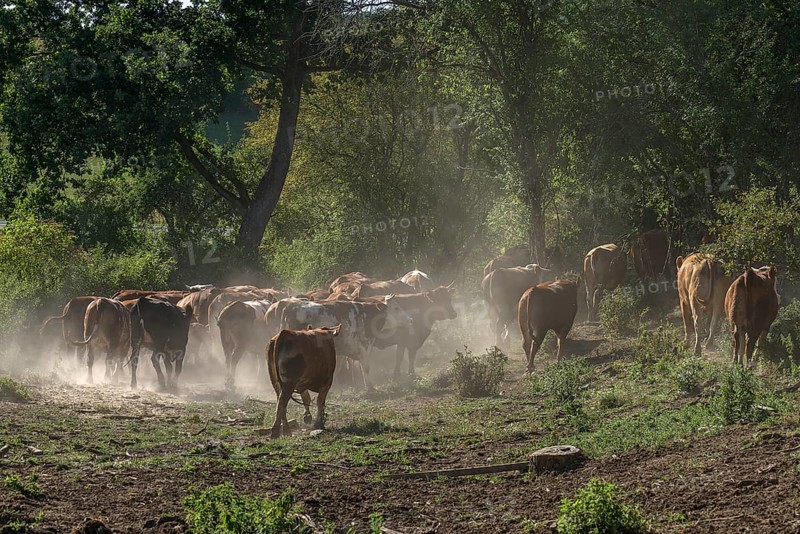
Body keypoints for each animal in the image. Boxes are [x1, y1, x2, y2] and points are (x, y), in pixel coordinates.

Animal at [280, 297, 413, 389]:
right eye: (396, 308)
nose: (410, 319)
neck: (366, 316)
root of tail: (289, 306)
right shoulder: (364, 346)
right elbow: (366, 367)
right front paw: (370, 387)